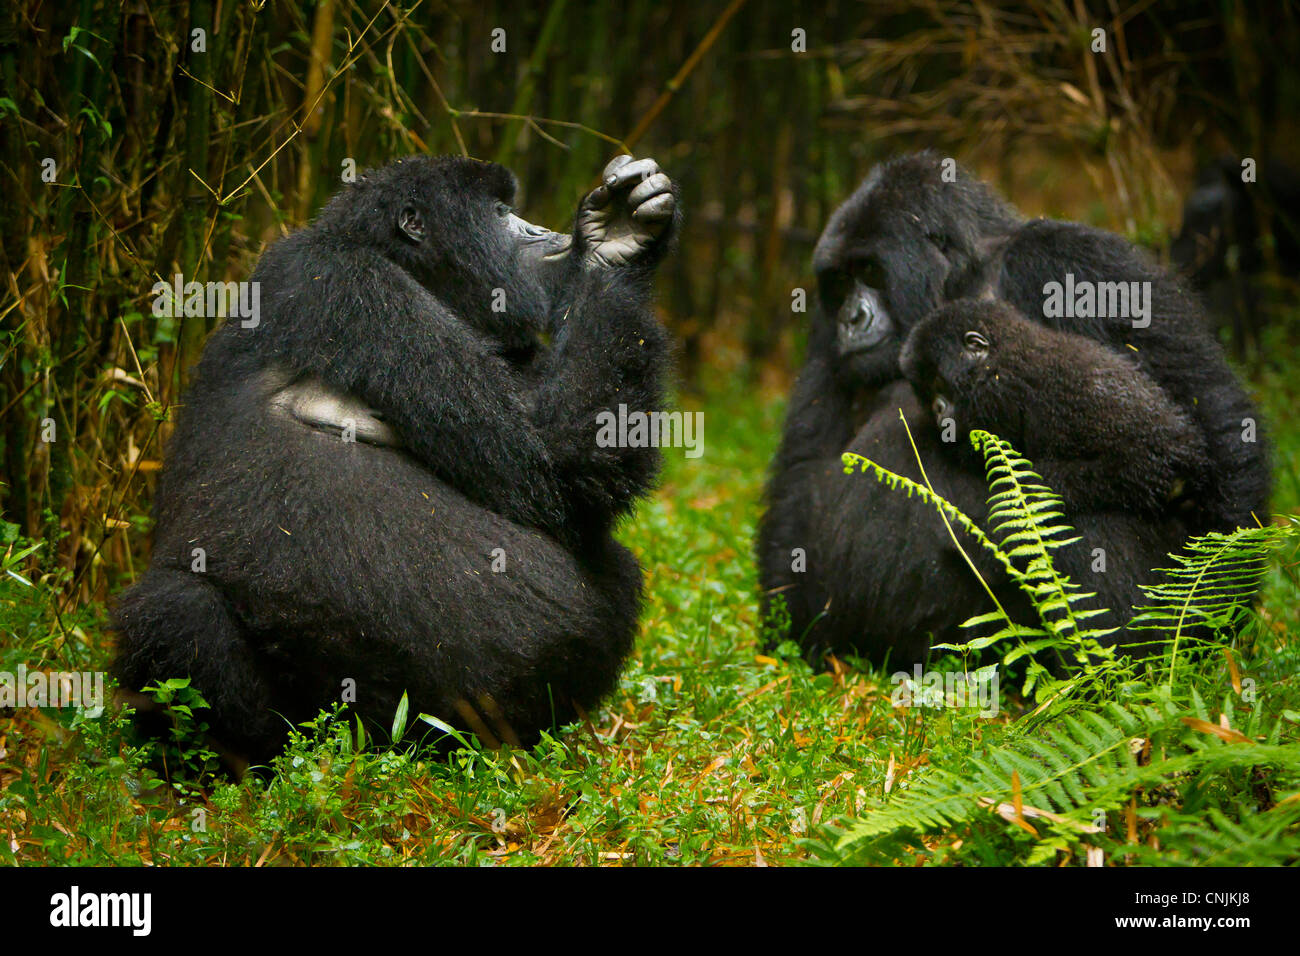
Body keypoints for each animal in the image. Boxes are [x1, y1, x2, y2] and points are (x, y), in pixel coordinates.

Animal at [115, 155, 681, 764]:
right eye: (500, 213)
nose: (541, 231)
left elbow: (574, 474)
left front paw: (615, 245)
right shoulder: (345, 282)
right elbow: (544, 471)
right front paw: (619, 244)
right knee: (176, 609)